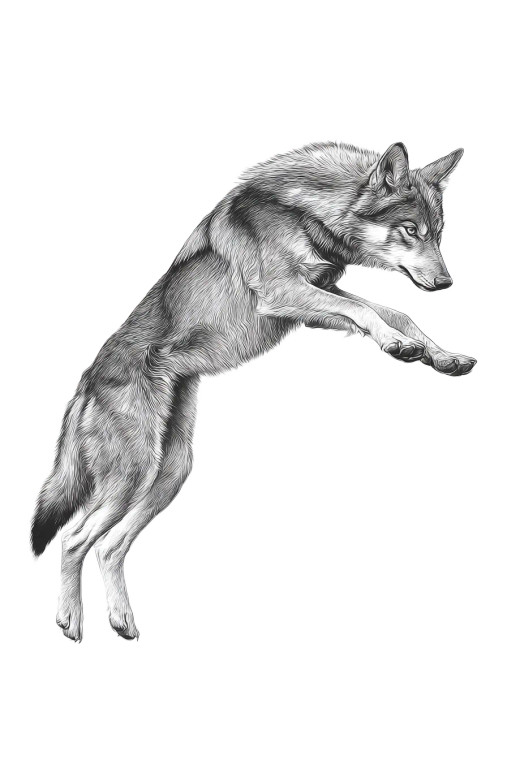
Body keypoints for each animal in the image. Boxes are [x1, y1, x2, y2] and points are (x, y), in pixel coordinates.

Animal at [31, 141, 476, 641]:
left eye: (438, 234)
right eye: (410, 230)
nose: (446, 283)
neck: (305, 212)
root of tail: (85, 382)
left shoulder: (317, 292)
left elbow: (395, 312)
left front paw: (443, 356)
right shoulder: (284, 292)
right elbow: (370, 313)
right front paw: (397, 345)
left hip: (170, 473)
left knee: (109, 546)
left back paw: (122, 621)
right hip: (133, 476)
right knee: (74, 539)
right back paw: (70, 621)